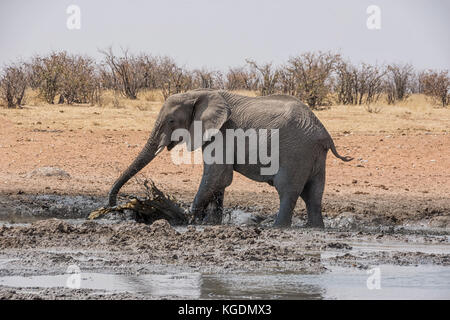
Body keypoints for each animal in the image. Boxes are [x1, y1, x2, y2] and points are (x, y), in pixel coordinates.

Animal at [107, 88, 354, 228]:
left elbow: (217, 175)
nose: (114, 206)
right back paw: (315, 228)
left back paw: (278, 228)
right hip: (314, 156)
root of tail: (325, 134)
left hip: (296, 153)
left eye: (171, 121)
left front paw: (188, 219)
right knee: (313, 194)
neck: (198, 93)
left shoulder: (224, 132)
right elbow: (219, 182)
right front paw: (211, 223)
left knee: (288, 191)